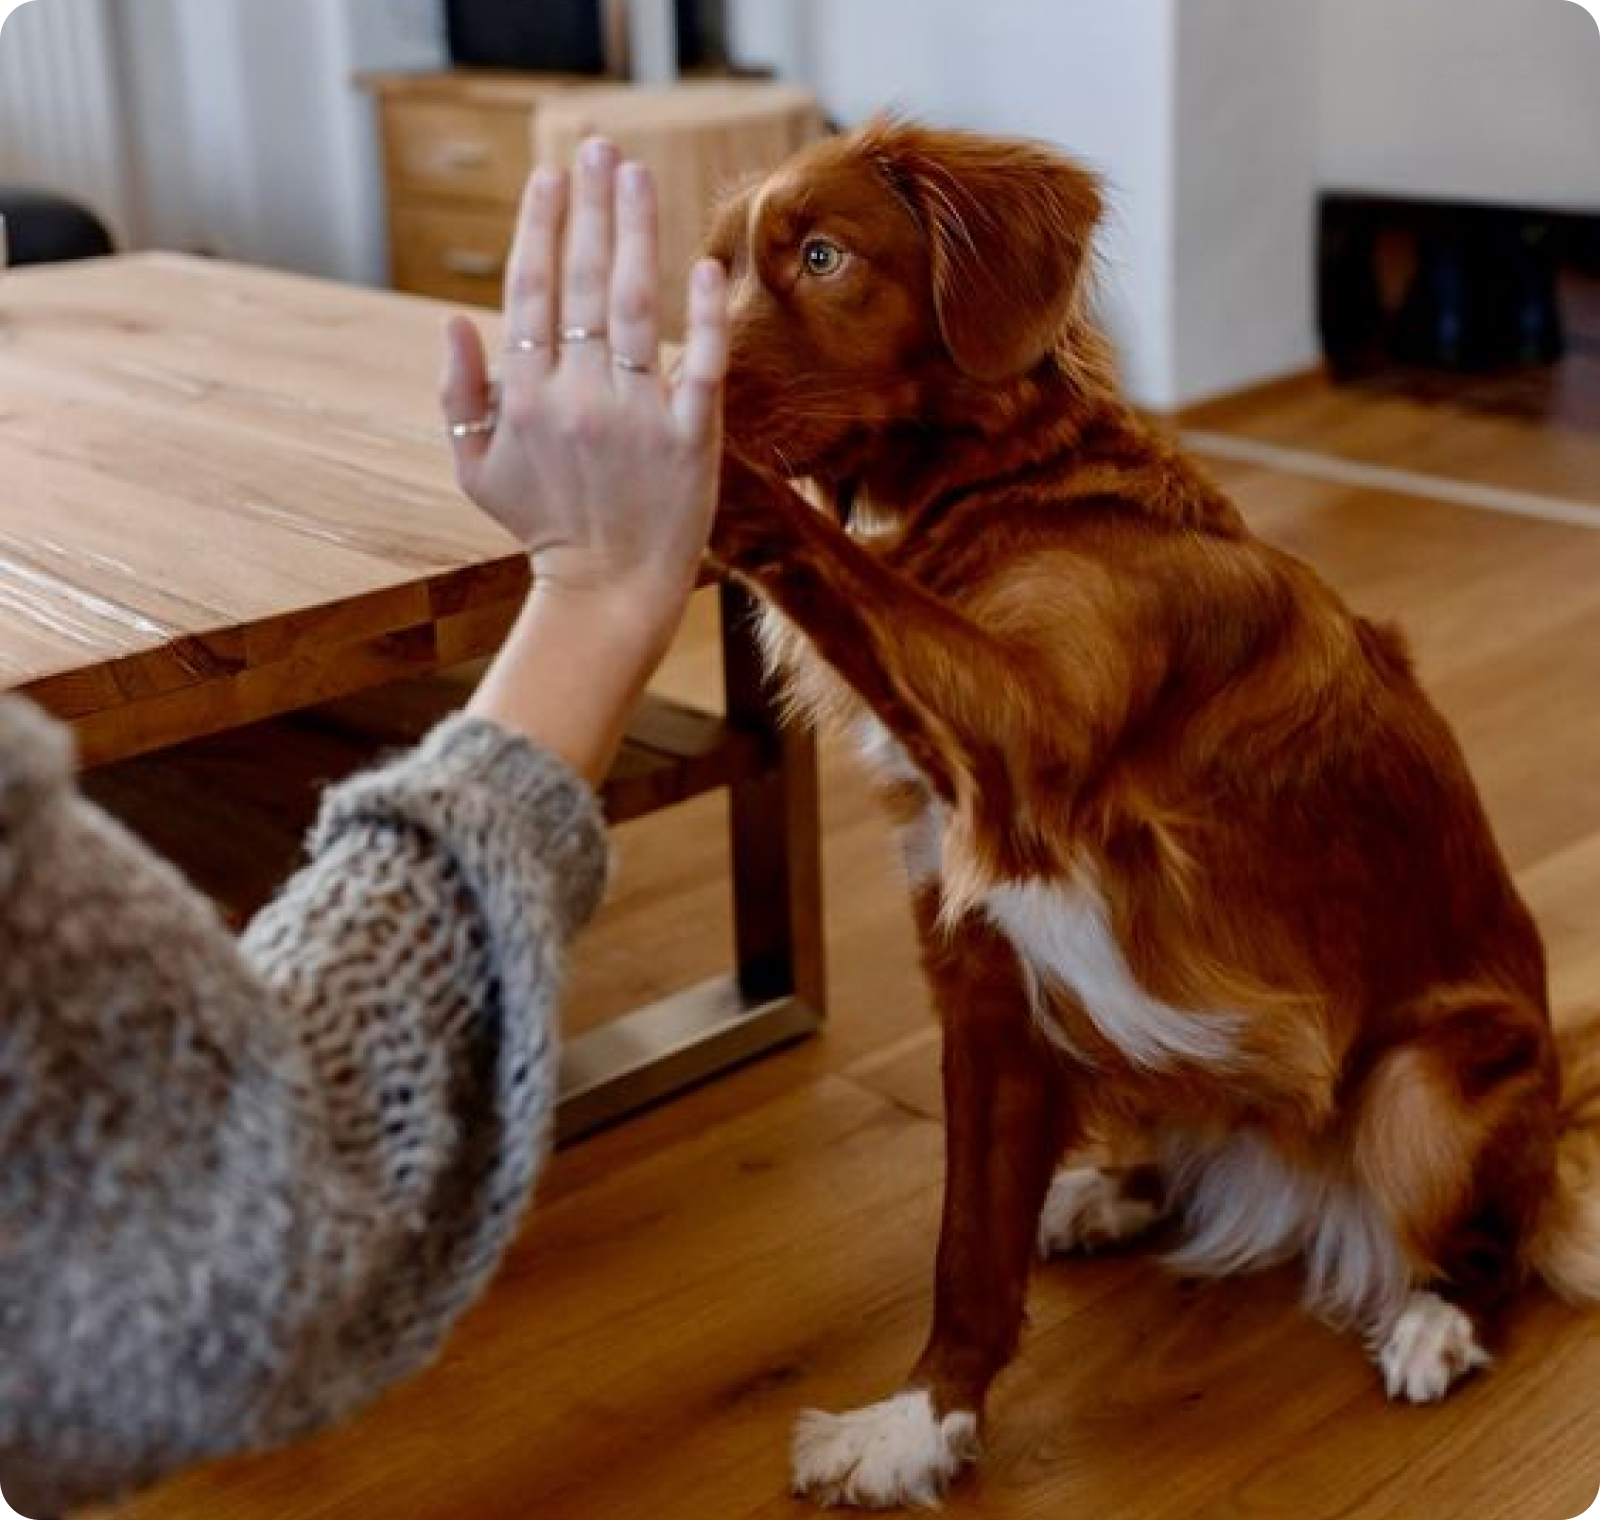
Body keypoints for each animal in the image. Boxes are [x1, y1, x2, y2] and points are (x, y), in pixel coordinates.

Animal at [704, 119, 1600, 1510]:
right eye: (720, 266)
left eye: (821, 255)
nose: (652, 353)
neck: (1004, 489)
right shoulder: (980, 962)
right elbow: (967, 1243)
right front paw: (922, 1420)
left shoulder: (1034, 742)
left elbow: (840, 566)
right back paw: (1107, 1190)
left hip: (1424, 1088)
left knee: (1495, 1238)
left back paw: (1430, 1317)